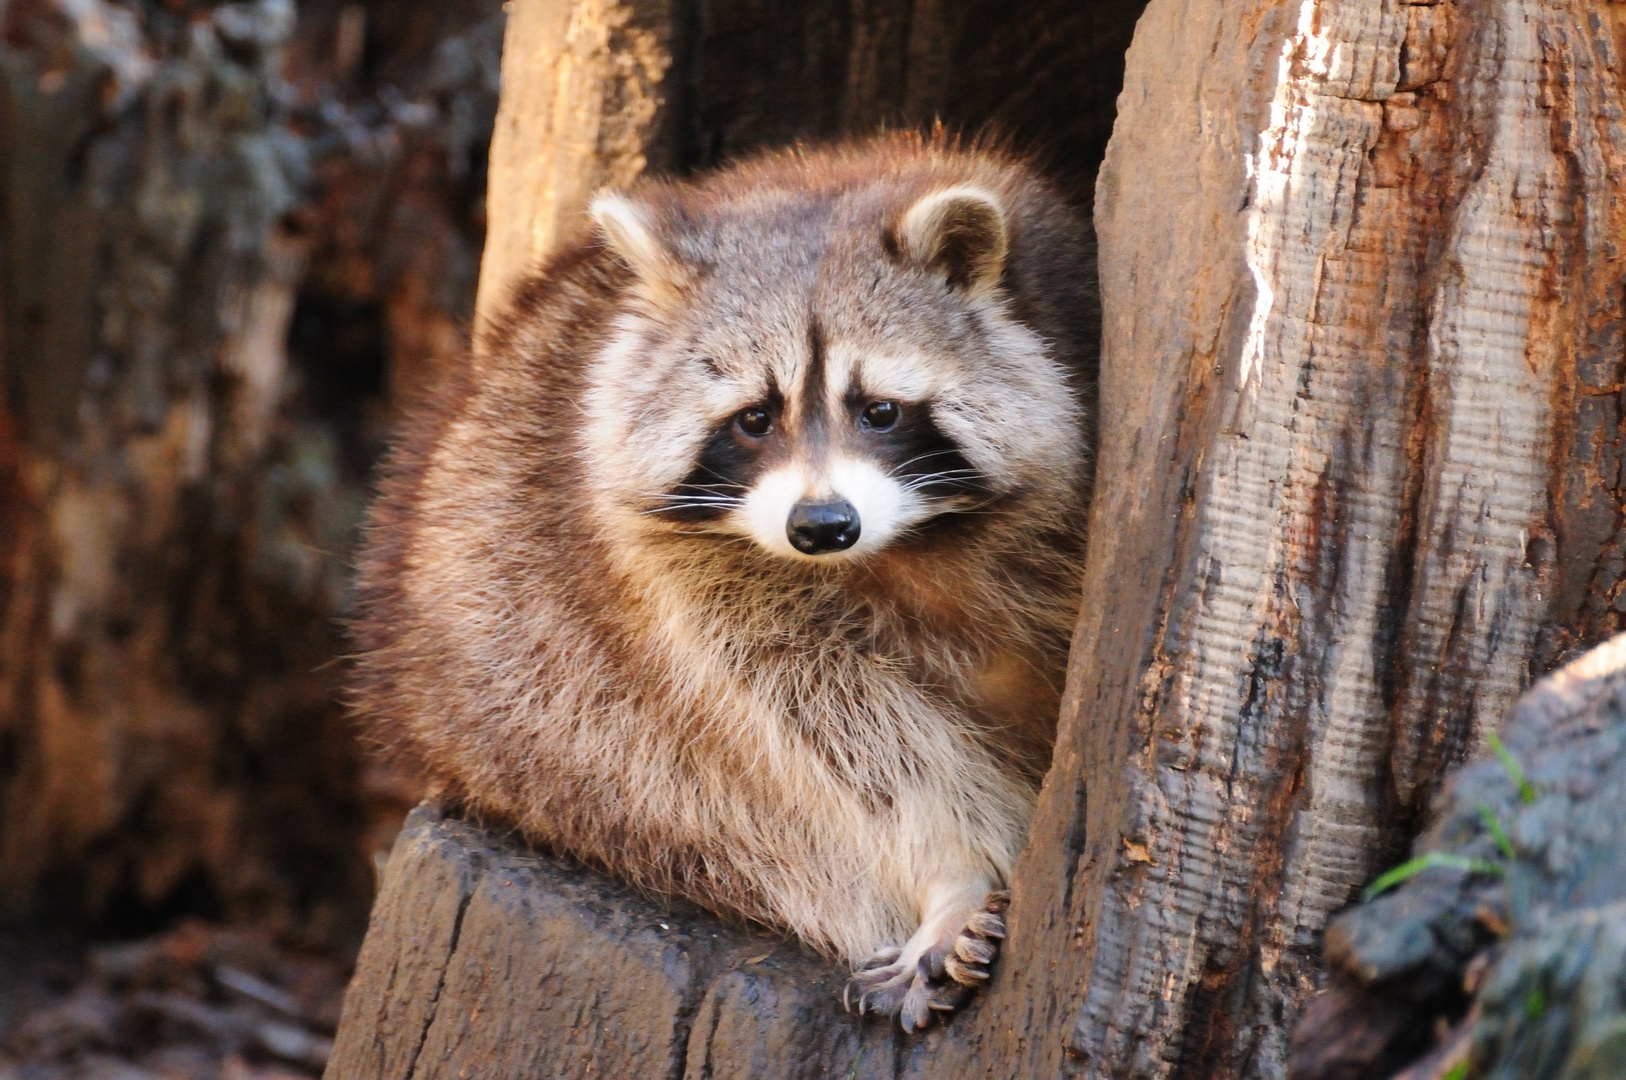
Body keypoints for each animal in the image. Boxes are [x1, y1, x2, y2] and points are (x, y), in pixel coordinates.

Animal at [349, 132, 1099, 1027]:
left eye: (880, 410)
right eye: (754, 419)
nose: (822, 525)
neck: (905, 549)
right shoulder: (686, 582)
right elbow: (849, 742)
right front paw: (957, 866)